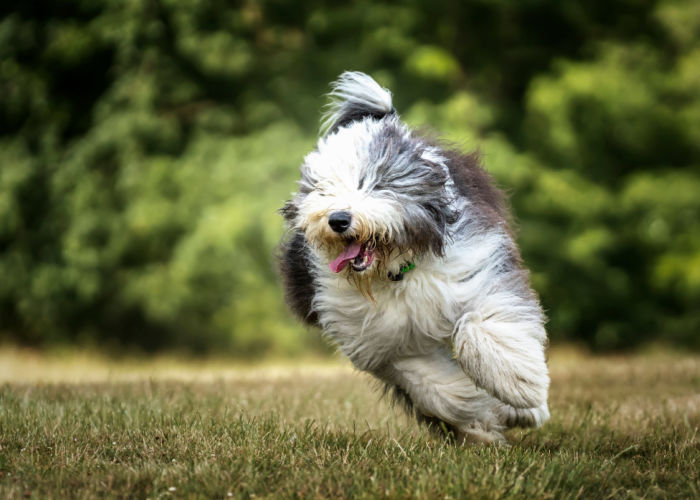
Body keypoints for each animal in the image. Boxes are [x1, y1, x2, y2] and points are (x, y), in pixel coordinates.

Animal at [278, 72, 548, 444]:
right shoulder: (387, 342)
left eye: (372, 183)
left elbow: (482, 329)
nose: (338, 219)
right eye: (322, 190)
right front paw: (481, 420)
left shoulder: (478, 270)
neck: (397, 272)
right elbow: (436, 386)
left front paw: (521, 391)